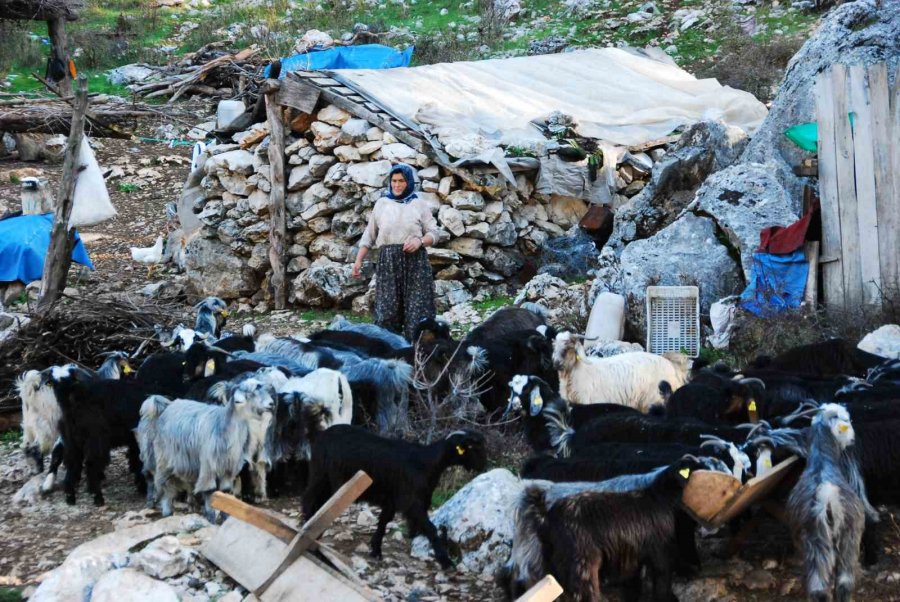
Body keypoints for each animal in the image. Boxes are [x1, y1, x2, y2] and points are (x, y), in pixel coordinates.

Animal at [138, 376, 274, 520]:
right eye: (252, 393)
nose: (271, 404)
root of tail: (166, 407)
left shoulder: (228, 468)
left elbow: (225, 491)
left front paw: (225, 516)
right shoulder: (208, 465)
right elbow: (210, 491)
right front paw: (211, 516)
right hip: (164, 459)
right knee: (164, 486)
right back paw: (166, 511)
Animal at [300, 424, 486, 564]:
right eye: (472, 447)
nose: (482, 467)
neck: (426, 463)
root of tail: (321, 434)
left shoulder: (392, 499)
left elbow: (383, 522)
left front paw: (376, 550)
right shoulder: (411, 500)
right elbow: (431, 528)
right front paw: (445, 561)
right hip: (321, 475)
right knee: (309, 499)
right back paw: (308, 530)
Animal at [784, 404, 868, 600]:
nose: (852, 439)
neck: (822, 462)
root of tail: (828, 497)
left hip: (816, 542)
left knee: (819, 589)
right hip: (850, 538)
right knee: (845, 583)